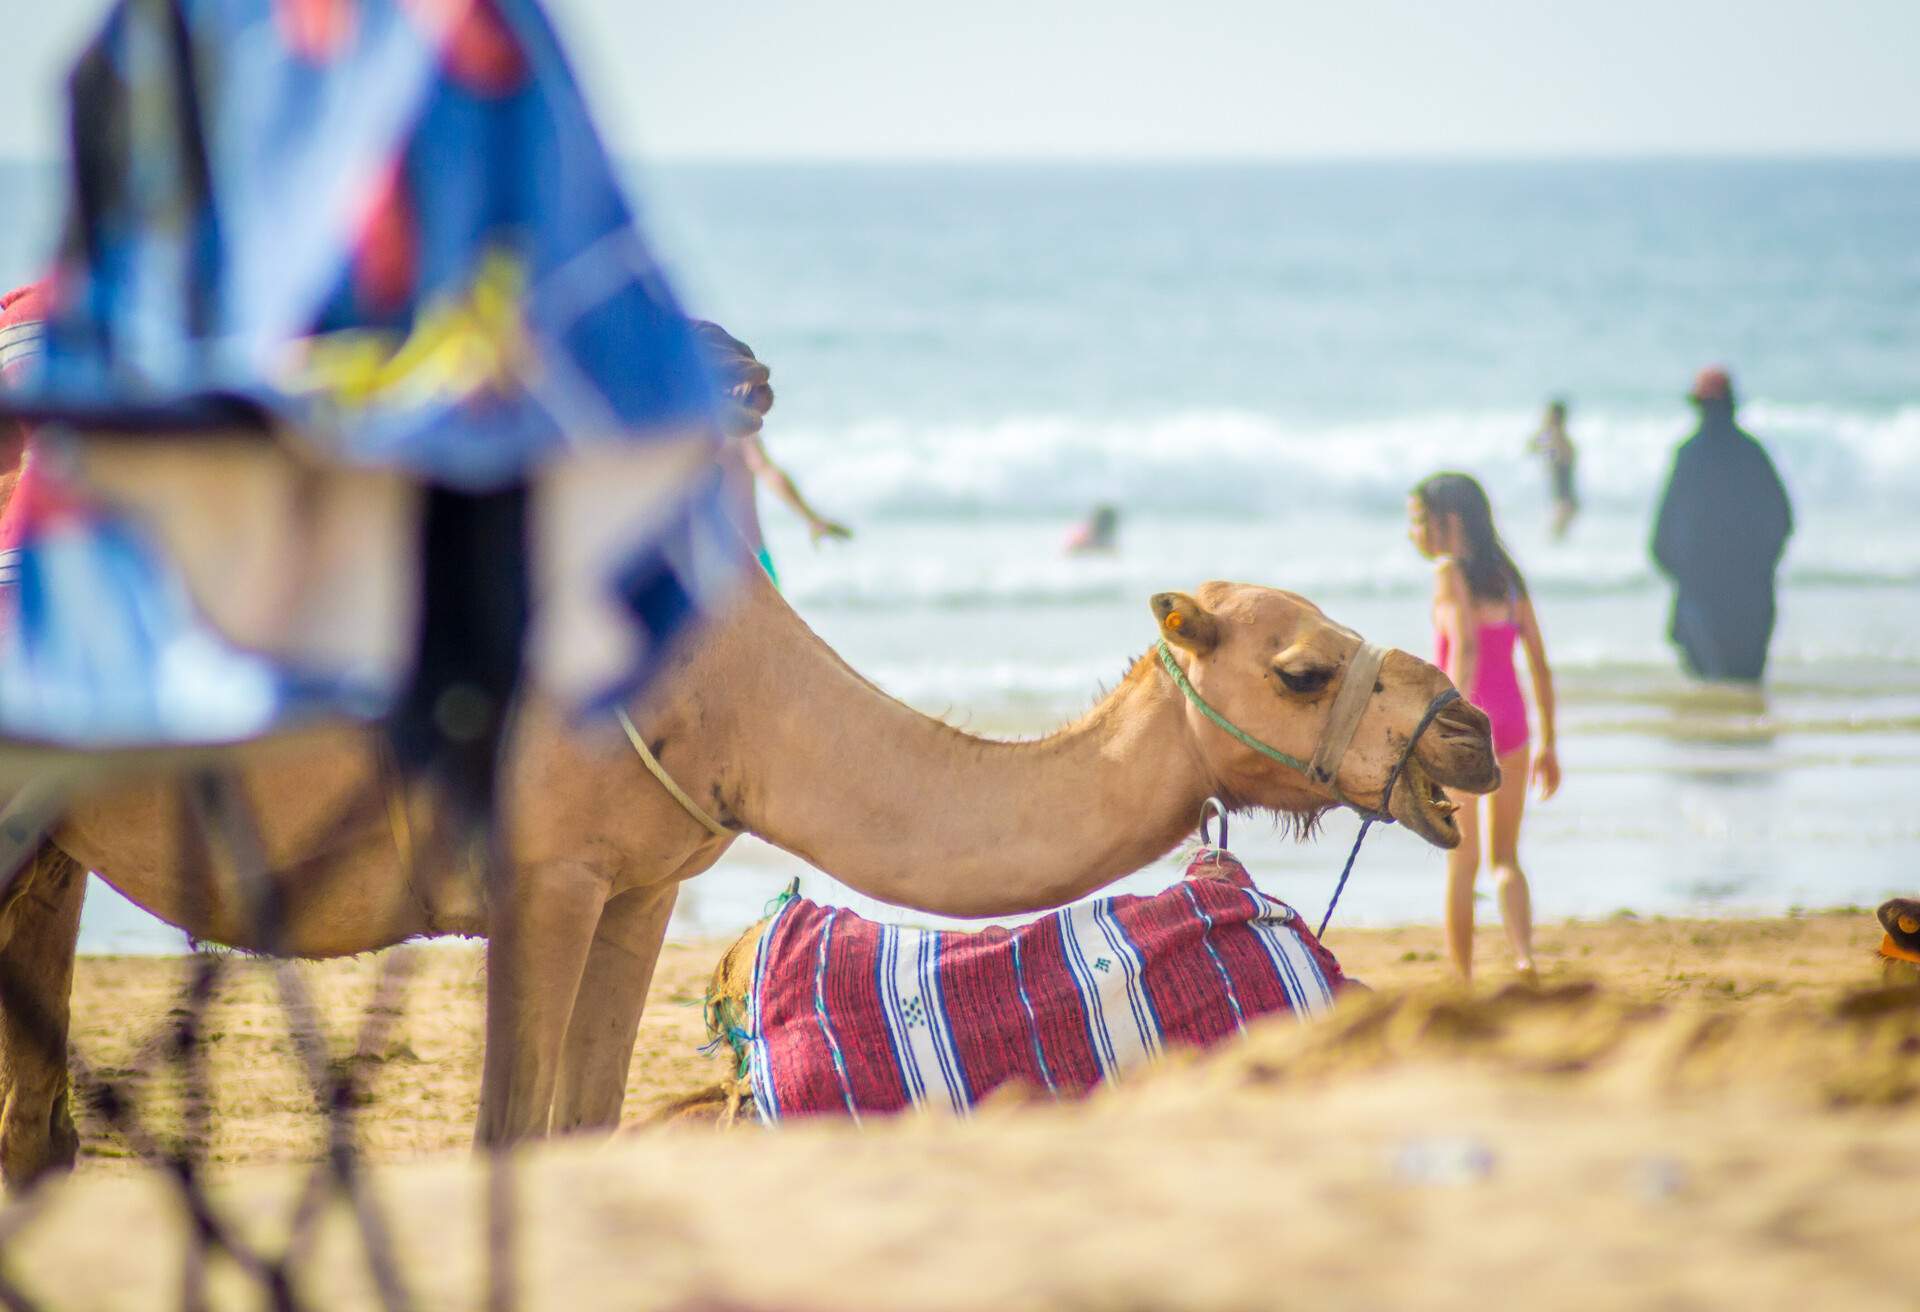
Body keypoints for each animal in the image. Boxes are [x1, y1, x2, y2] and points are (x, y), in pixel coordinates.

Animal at [0, 568, 1497, 1183]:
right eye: (1301, 668)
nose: (1471, 733)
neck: (748, 700)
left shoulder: (637, 885)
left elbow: (583, 1129)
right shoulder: (545, 876)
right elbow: (507, 1138)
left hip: (48, 835)